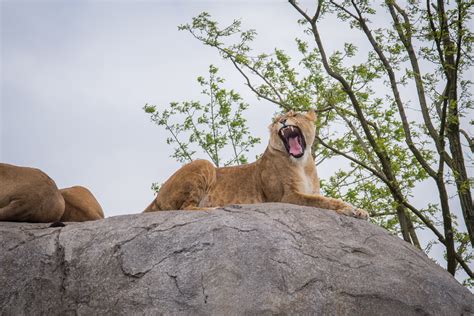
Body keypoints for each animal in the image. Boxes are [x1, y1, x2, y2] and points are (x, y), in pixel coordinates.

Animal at [144, 111, 370, 220]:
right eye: (277, 119)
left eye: (294, 114)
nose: (283, 120)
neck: (303, 163)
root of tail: (157, 196)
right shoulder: (286, 197)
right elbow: (324, 201)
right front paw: (350, 209)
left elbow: (323, 198)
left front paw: (360, 211)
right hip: (203, 163)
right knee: (185, 208)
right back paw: (214, 207)